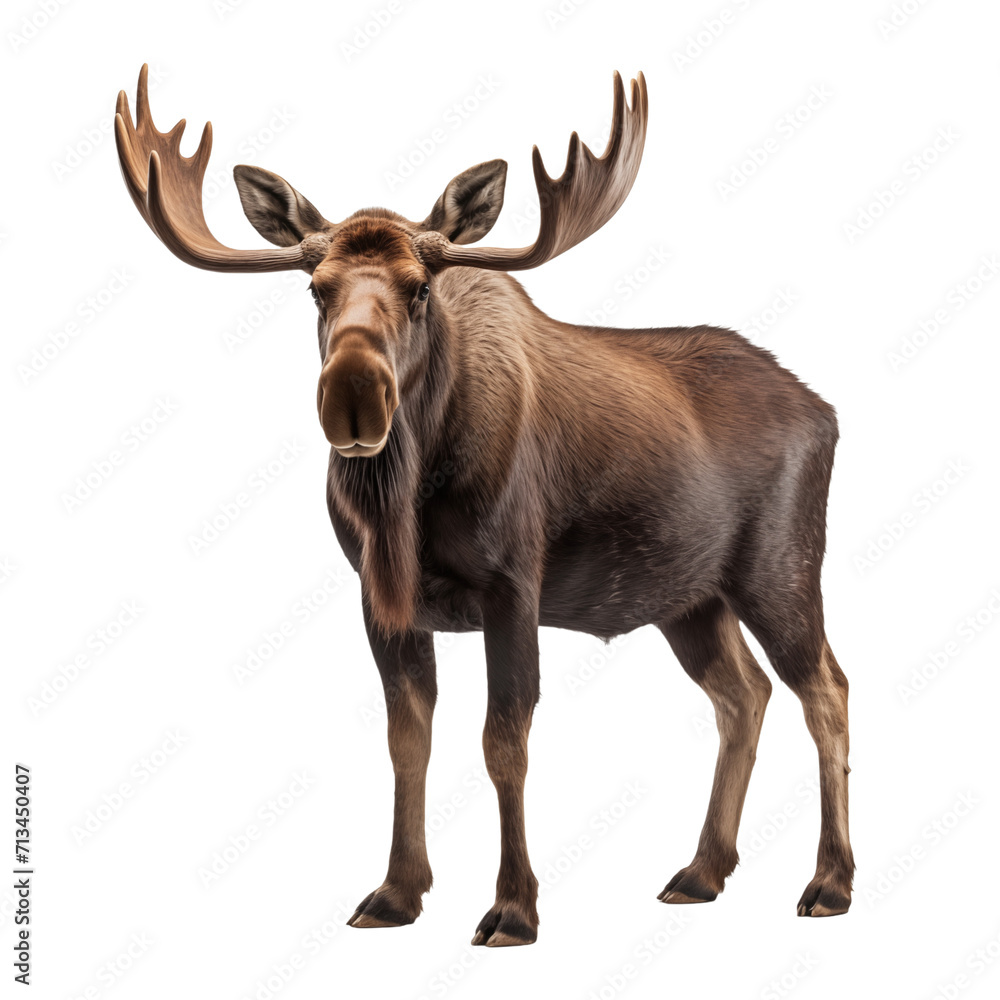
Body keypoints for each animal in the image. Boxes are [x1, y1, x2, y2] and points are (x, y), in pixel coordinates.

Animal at [114, 65, 854, 947]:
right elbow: (407, 738)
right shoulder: (381, 601)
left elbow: (504, 740)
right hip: (689, 596)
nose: (353, 396)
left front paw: (513, 907)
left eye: (418, 288)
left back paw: (829, 883)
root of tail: (825, 411)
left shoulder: (512, 585)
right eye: (316, 290)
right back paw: (701, 872)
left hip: (781, 569)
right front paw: (396, 892)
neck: (404, 513)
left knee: (827, 691)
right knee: (744, 696)